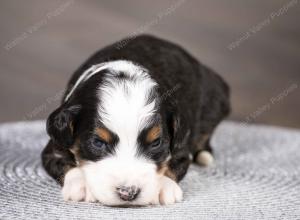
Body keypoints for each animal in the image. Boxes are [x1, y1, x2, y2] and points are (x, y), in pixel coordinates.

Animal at [41, 34, 230, 206]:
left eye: (156, 143)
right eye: (98, 143)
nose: (128, 193)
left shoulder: (181, 147)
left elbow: (175, 165)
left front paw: (164, 187)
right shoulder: (55, 145)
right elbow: (63, 162)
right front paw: (80, 185)